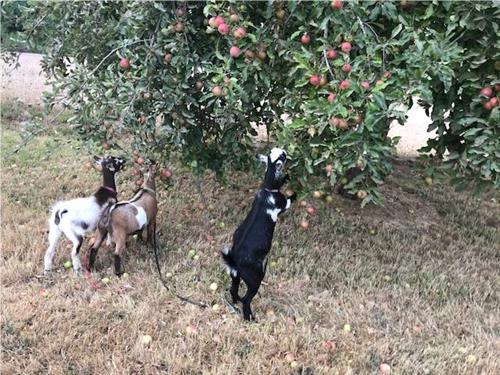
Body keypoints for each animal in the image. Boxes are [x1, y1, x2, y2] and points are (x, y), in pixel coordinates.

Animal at [221, 148, 294, 322]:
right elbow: (290, 200)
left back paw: (236, 302)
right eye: (282, 156)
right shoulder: (283, 204)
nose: (285, 150)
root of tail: (234, 260)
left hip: (235, 275)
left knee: (233, 289)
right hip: (255, 278)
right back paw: (249, 318)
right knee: (248, 298)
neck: (268, 188)